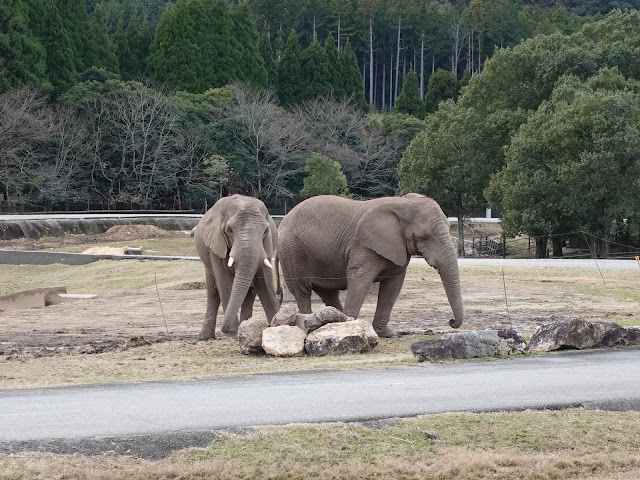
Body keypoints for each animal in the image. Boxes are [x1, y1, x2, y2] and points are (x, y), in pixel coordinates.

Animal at [192, 193, 278, 340]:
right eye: (229, 230)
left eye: (266, 231)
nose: (224, 328)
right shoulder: (216, 243)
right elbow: (224, 282)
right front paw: (233, 332)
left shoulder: (266, 245)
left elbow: (264, 282)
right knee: (213, 291)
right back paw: (206, 337)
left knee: (250, 291)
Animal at [278, 192, 462, 338]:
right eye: (424, 237)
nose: (451, 321)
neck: (402, 203)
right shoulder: (362, 245)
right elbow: (360, 278)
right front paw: (350, 328)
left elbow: (393, 286)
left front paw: (385, 334)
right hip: (291, 250)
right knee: (302, 291)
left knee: (328, 293)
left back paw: (336, 319)